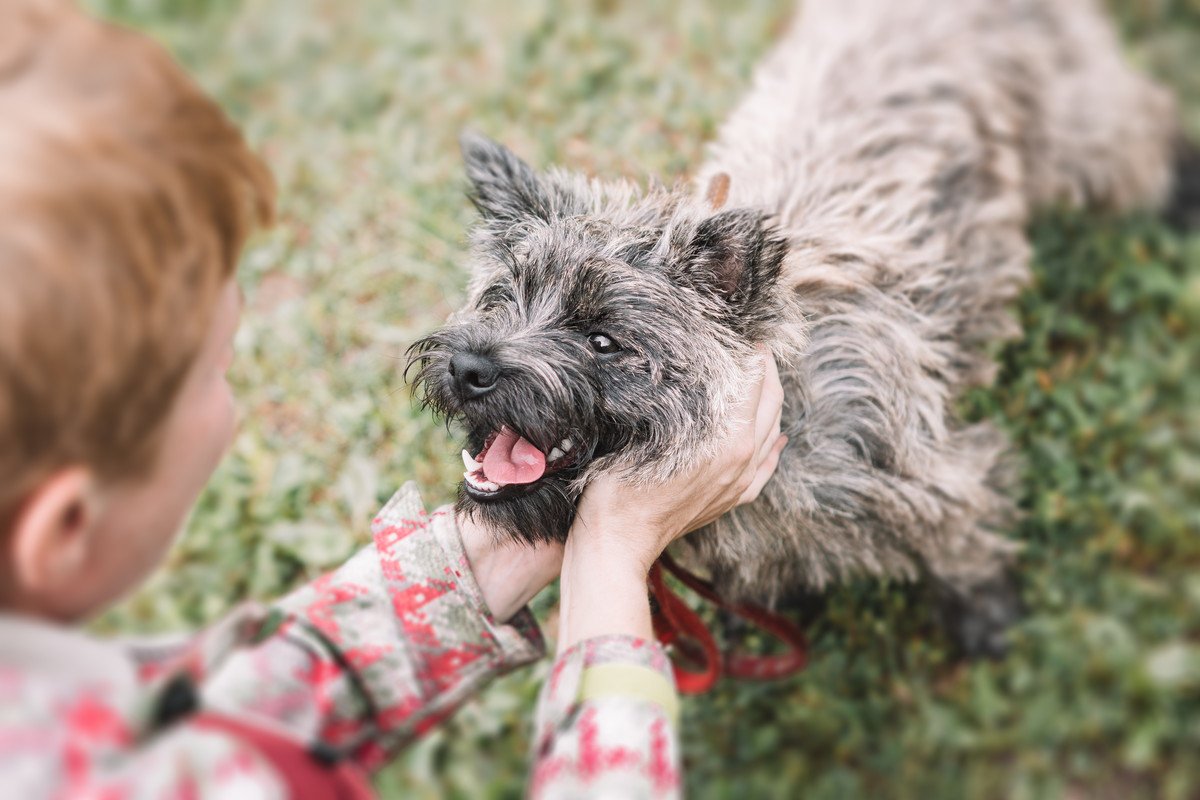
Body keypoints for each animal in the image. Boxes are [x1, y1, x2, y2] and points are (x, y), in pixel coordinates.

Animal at [410, 0, 1180, 657]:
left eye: (604, 340)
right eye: (503, 297)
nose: (469, 368)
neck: (785, 422)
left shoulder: (931, 475)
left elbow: (966, 545)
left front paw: (988, 622)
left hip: (1085, 126)